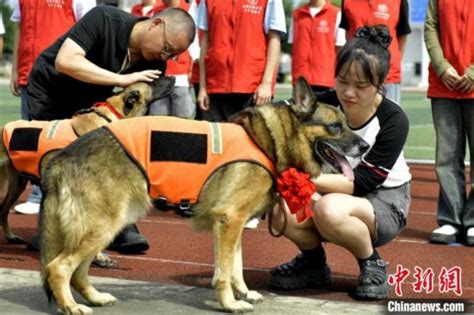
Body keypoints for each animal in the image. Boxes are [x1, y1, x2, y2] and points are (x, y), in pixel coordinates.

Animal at [39, 78, 368, 314]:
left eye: (347, 124)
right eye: (335, 127)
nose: (365, 147)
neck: (268, 141)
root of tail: (63, 157)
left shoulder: (232, 224)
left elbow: (234, 266)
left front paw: (242, 293)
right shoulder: (230, 220)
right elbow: (224, 271)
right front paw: (230, 303)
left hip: (106, 228)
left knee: (78, 272)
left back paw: (94, 298)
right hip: (101, 227)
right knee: (58, 269)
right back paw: (71, 306)